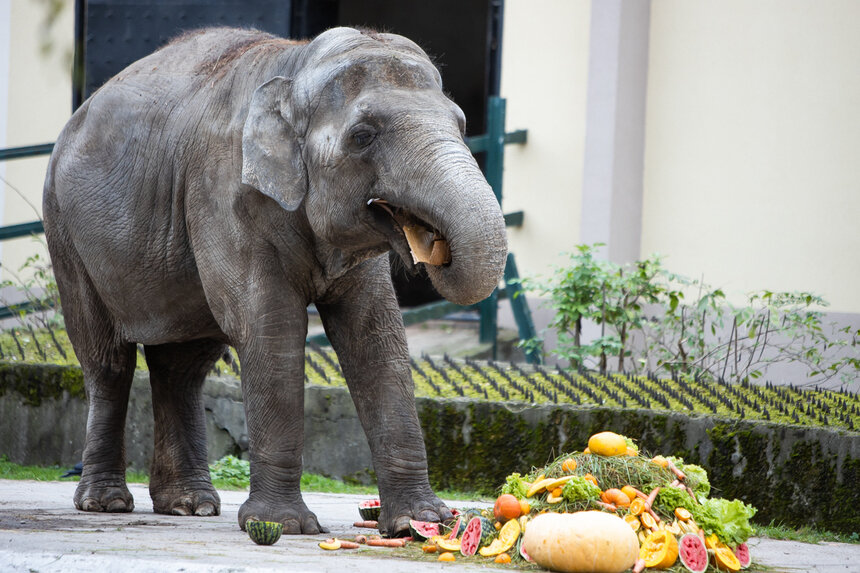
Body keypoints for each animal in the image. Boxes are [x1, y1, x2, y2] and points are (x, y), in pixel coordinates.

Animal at [40, 25, 508, 536]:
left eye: (461, 125)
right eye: (363, 136)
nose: (433, 247)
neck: (297, 64)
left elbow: (377, 337)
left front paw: (418, 524)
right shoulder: (223, 194)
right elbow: (270, 327)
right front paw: (283, 525)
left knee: (182, 367)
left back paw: (190, 505)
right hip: (66, 233)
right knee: (107, 361)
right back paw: (106, 503)